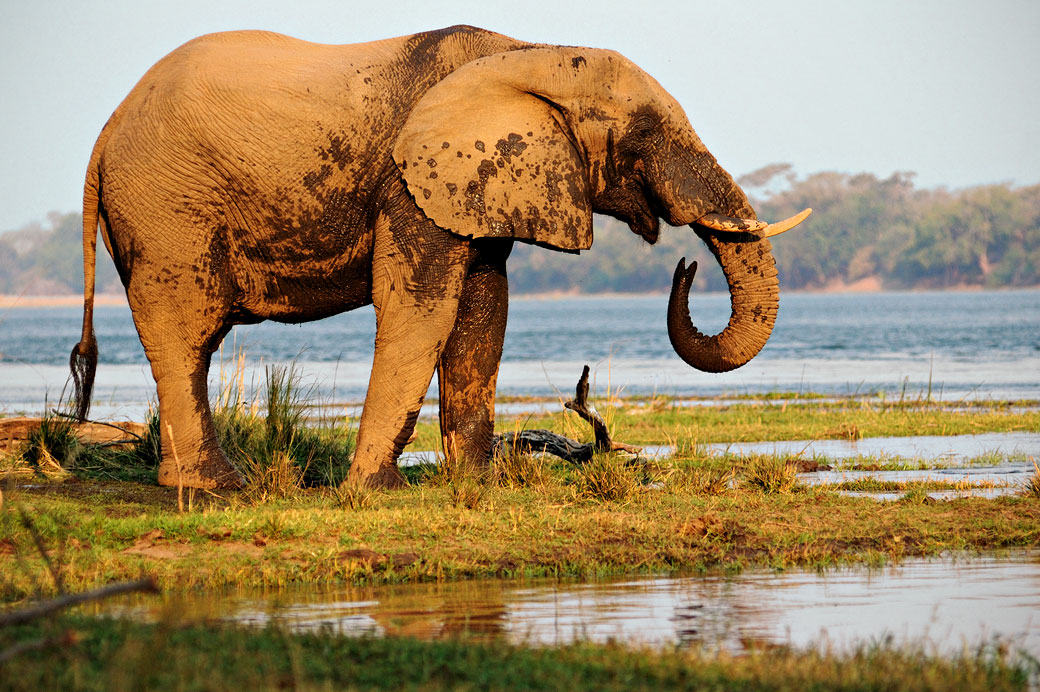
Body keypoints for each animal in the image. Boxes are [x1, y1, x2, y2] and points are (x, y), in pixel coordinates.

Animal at [69, 27, 807, 489]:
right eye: (644, 132)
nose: (685, 266)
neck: (524, 52)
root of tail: (103, 133)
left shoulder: (479, 187)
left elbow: (484, 310)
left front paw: (477, 483)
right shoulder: (411, 184)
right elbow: (421, 309)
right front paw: (376, 490)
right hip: (167, 207)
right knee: (187, 332)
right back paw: (217, 485)